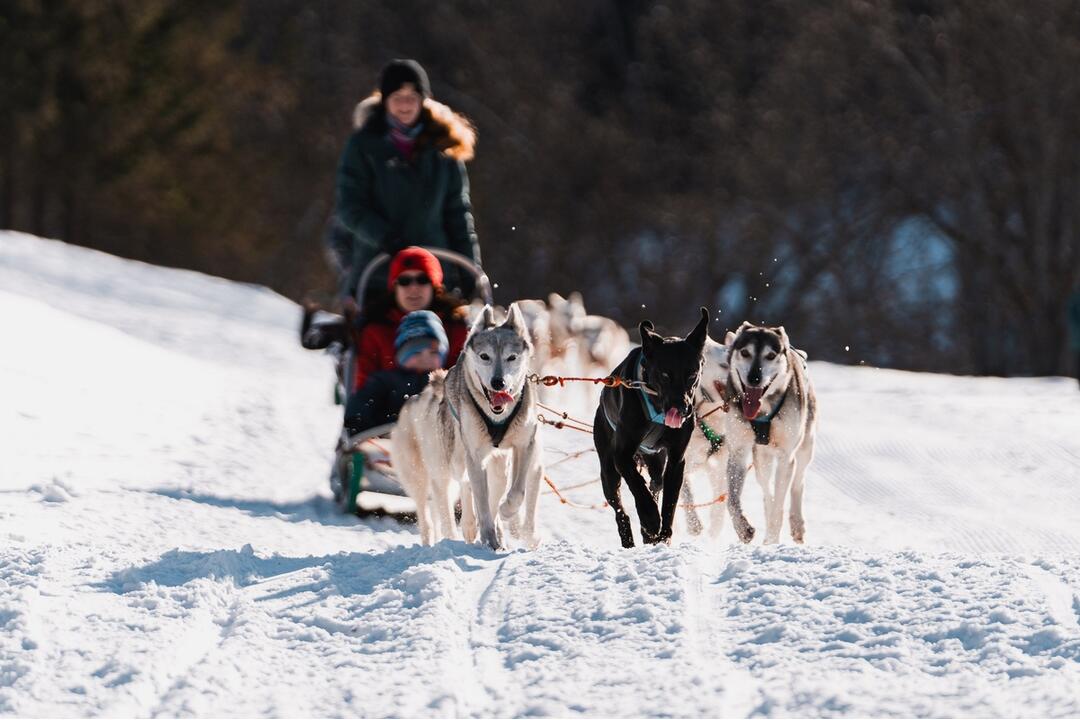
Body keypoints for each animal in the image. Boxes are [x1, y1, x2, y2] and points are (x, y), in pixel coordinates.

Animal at [390, 302, 544, 548]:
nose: (498, 382)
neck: (497, 418)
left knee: (489, 488)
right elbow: (480, 501)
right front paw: (489, 538)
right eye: (484, 356)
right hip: (436, 469)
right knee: (437, 506)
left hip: (493, 463)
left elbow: (516, 492)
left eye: (511, 357)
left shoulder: (524, 446)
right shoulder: (475, 454)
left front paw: (506, 513)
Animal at [591, 306, 708, 548]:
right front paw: (650, 518)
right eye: (665, 374)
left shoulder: (676, 460)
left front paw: (664, 535)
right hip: (608, 470)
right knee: (619, 507)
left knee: (655, 484)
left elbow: (670, 501)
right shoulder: (621, 455)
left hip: (656, 462)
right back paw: (630, 537)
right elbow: (637, 484)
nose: (681, 408)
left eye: (692, 374)